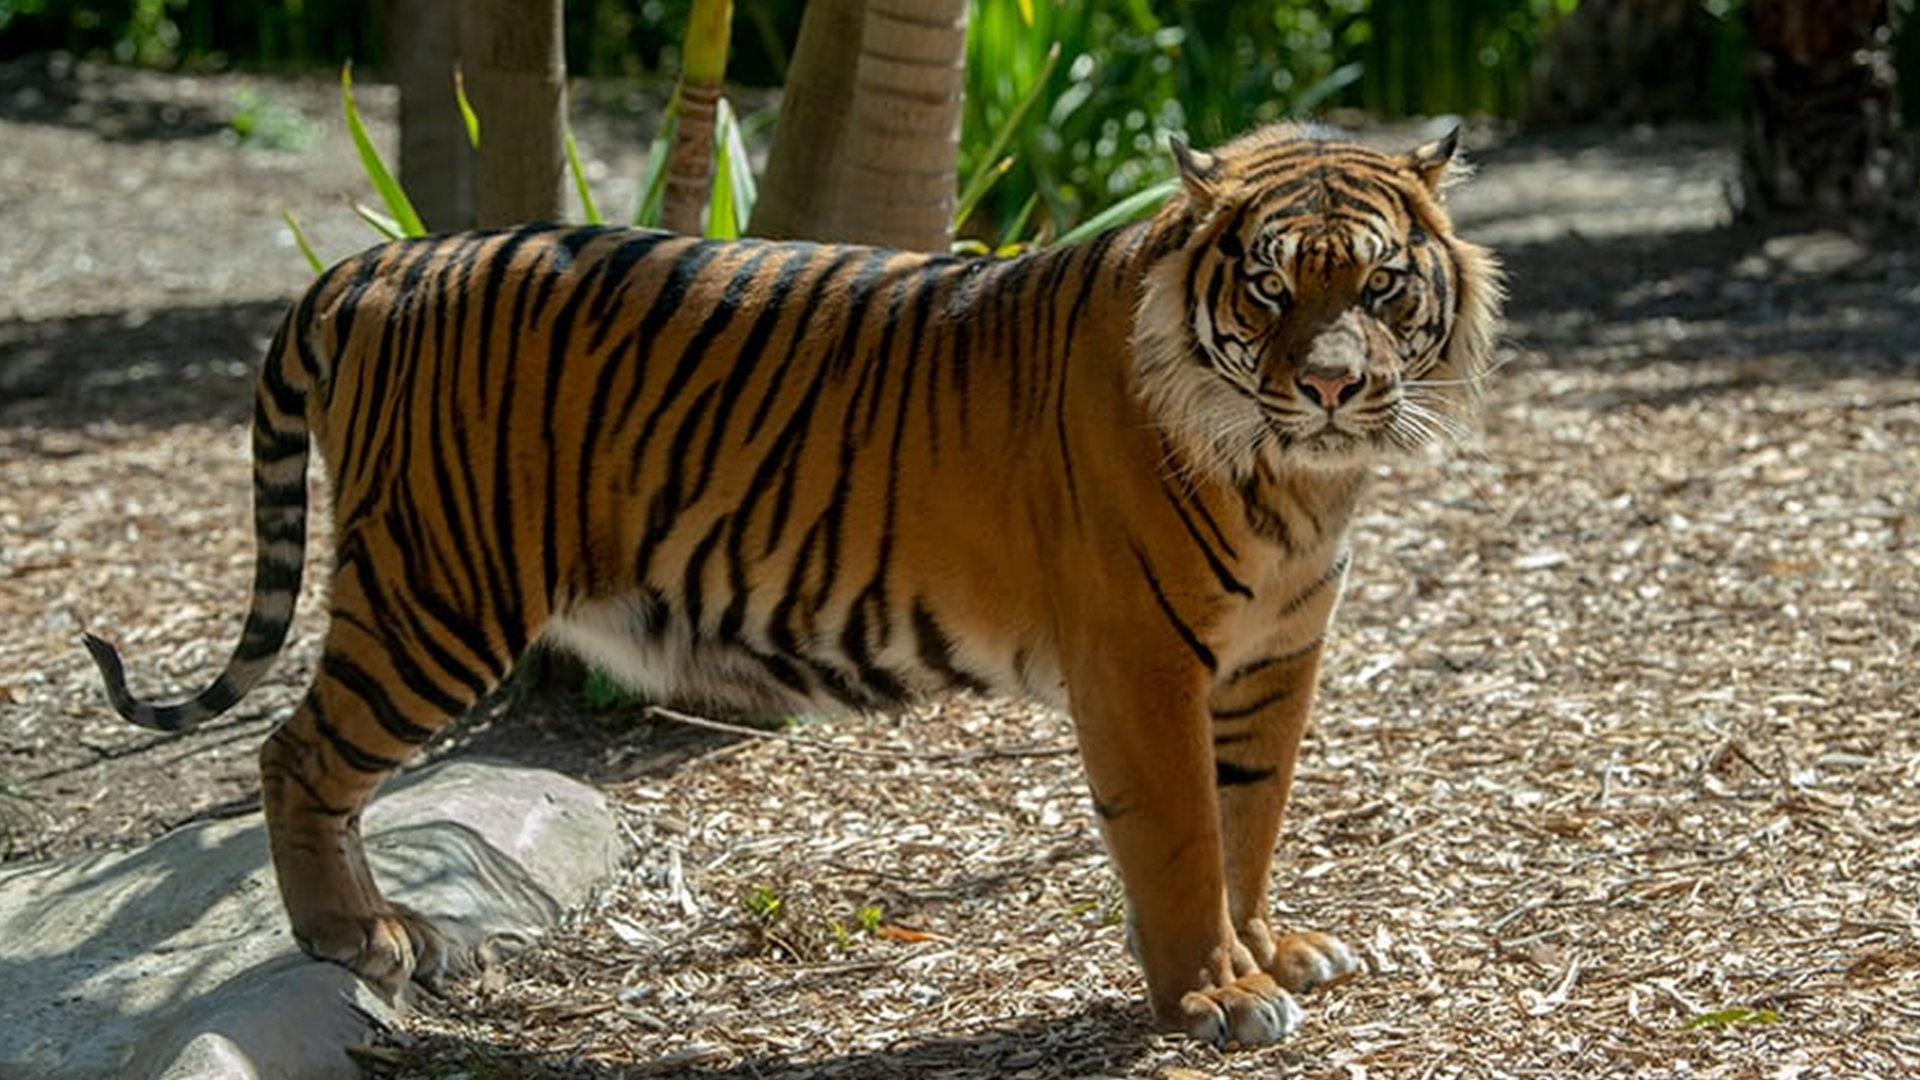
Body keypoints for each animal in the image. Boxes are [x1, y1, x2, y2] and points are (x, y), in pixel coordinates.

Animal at [86, 119, 1497, 1045]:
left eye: (1379, 283)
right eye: (1267, 284)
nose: (1332, 386)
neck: (1294, 479)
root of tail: (381, 261)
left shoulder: (1274, 657)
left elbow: (1252, 822)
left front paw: (1271, 951)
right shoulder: (1142, 663)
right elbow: (1184, 837)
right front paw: (1211, 994)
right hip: (436, 591)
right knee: (295, 753)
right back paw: (357, 935)